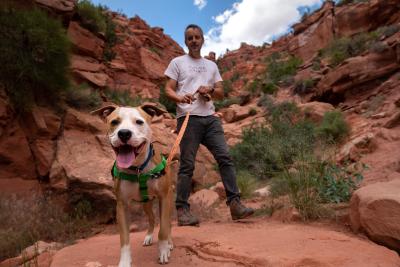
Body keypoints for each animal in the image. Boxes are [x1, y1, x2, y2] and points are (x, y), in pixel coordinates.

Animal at [94, 102, 177, 266]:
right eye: (114, 122)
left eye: (139, 122)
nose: (124, 133)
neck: (138, 169)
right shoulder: (122, 206)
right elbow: (124, 239)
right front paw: (125, 262)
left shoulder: (164, 198)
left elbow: (163, 229)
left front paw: (163, 250)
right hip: (146, 204)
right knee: (151, 219)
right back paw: (149, 236)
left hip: (169, 201)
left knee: (168, 223)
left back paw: (169, 243)